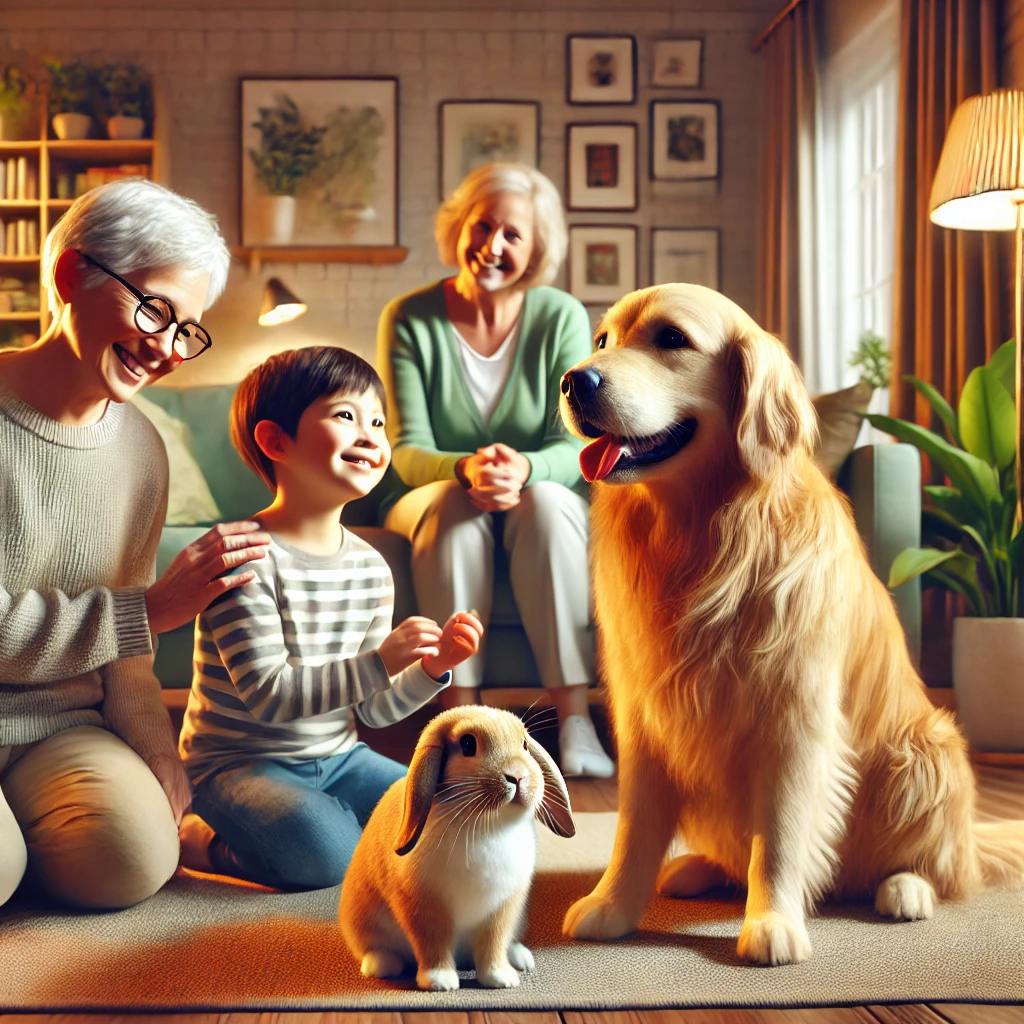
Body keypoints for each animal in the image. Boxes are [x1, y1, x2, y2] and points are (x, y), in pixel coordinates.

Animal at [337, 708, 573, 987]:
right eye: (468, 744)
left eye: (524, 744)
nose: (517, 776)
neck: (486, 825)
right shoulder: (424, 907)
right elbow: (433, 943)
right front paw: (440, 981)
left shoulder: (501, 910)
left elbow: (493, 943)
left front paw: (500, 978)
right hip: (362, 922)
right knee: (375, 948)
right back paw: (382, 965)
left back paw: (520, 958)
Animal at [561, 284, 1024, 962]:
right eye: (602, 341)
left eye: (671, 338)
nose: (573, 380)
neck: (702, 534)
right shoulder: (645, 717)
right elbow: (633, 830)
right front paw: (612, 904)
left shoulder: (794, 719)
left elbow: (778, 839)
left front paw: (773, 922)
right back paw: (698, 868)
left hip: (924, 753)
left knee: (938, 867)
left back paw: (904, 889)